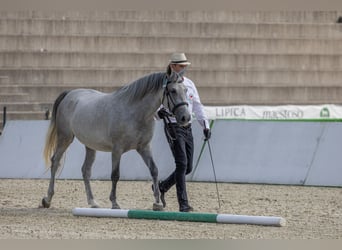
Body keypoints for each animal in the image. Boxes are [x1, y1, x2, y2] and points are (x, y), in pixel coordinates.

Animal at [41, 71, 191, 211]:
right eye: (173, 90)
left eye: (186, 90)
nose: (186, 118)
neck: (135, 113)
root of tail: (70, 94)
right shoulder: (117, 150)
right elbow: (115, 175)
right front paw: (114, 203)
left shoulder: (144, 148)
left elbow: (154, 170)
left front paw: (158, 203)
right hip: (65, 138)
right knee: (55, 162)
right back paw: (47, 199)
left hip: (90, 145)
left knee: (86, 170)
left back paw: (93, 202)